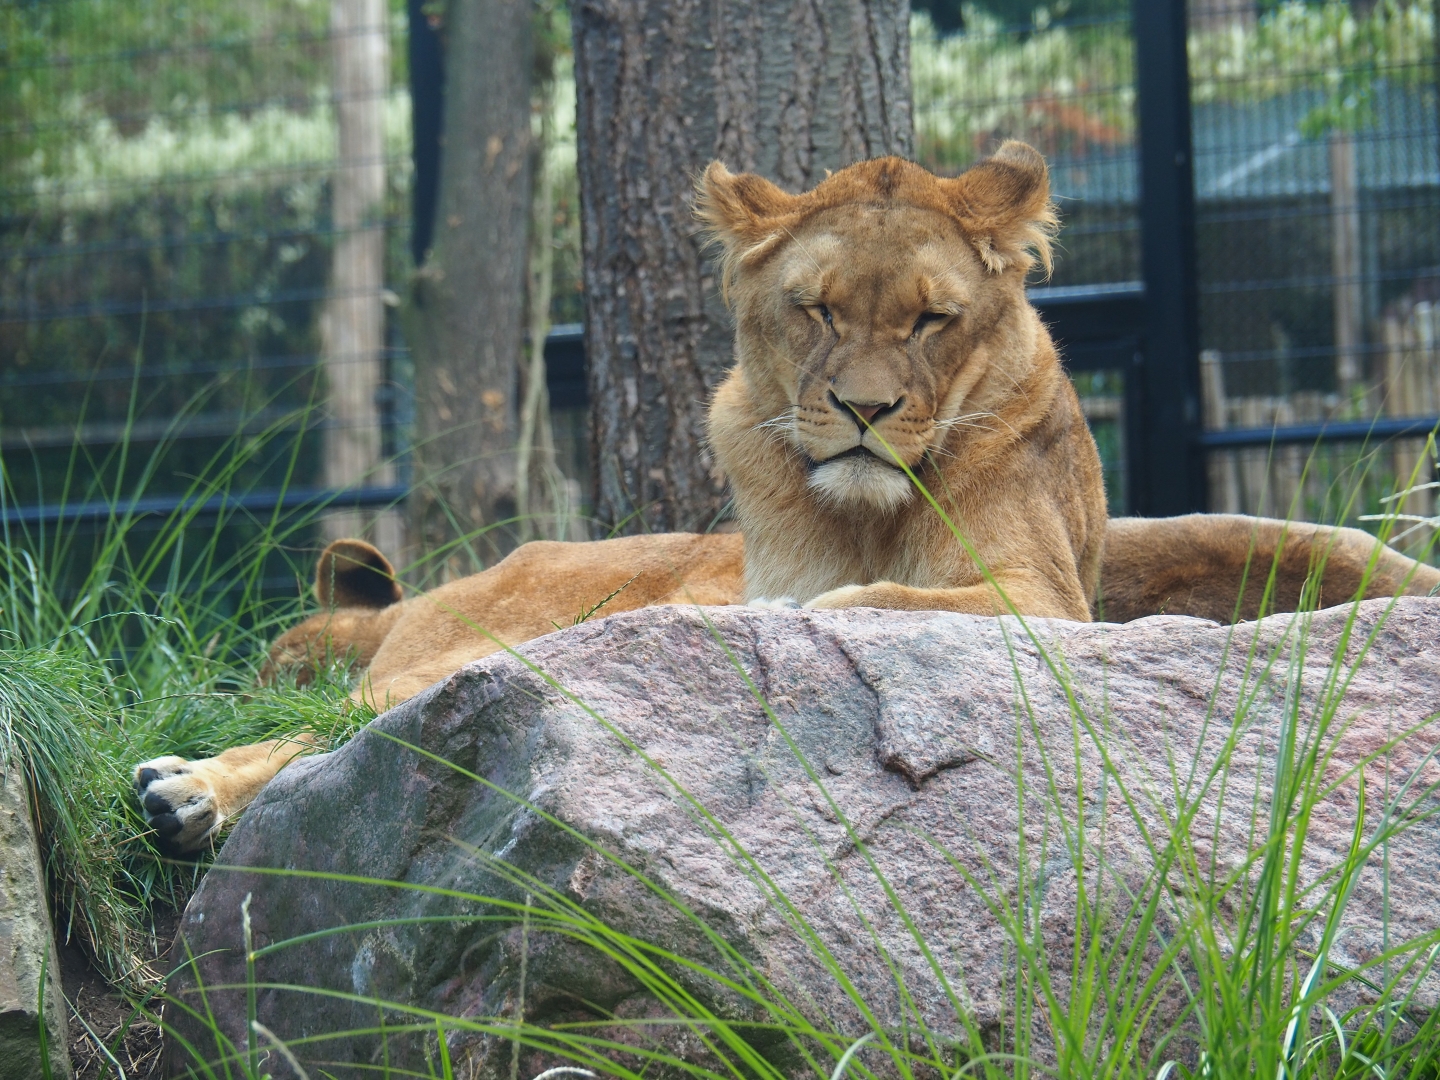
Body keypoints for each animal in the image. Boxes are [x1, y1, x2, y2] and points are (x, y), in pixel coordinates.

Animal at [133, 142, 1439, 853]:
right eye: (816, 311)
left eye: (930, 320)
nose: (862, 409)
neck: (859, 506)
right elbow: (835, 600)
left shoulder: (1048, 594)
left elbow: (883, 603)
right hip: (457, 651)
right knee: (330, 732)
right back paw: (185, 790)